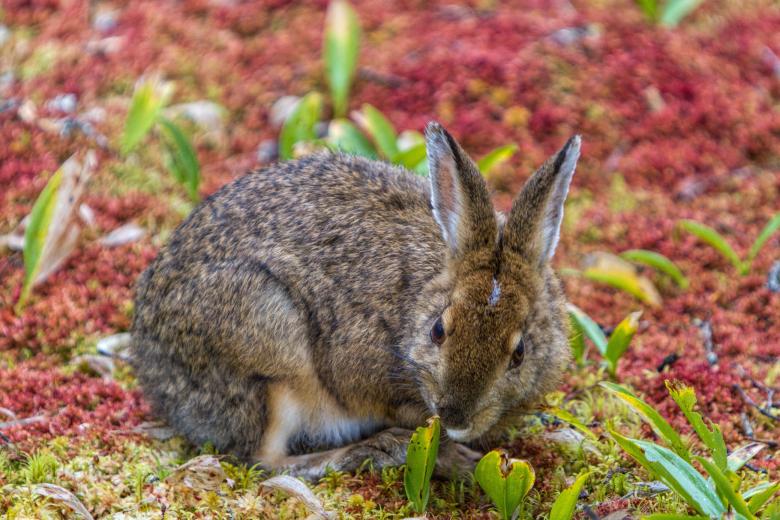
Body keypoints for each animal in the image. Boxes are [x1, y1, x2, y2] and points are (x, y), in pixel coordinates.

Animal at [130, 122, 580, 480]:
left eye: (519, 353)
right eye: (438, 331)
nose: (455, 414)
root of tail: (154, 373)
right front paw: (457, 459)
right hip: (269, 347)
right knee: (265, 459)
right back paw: (378, 449)